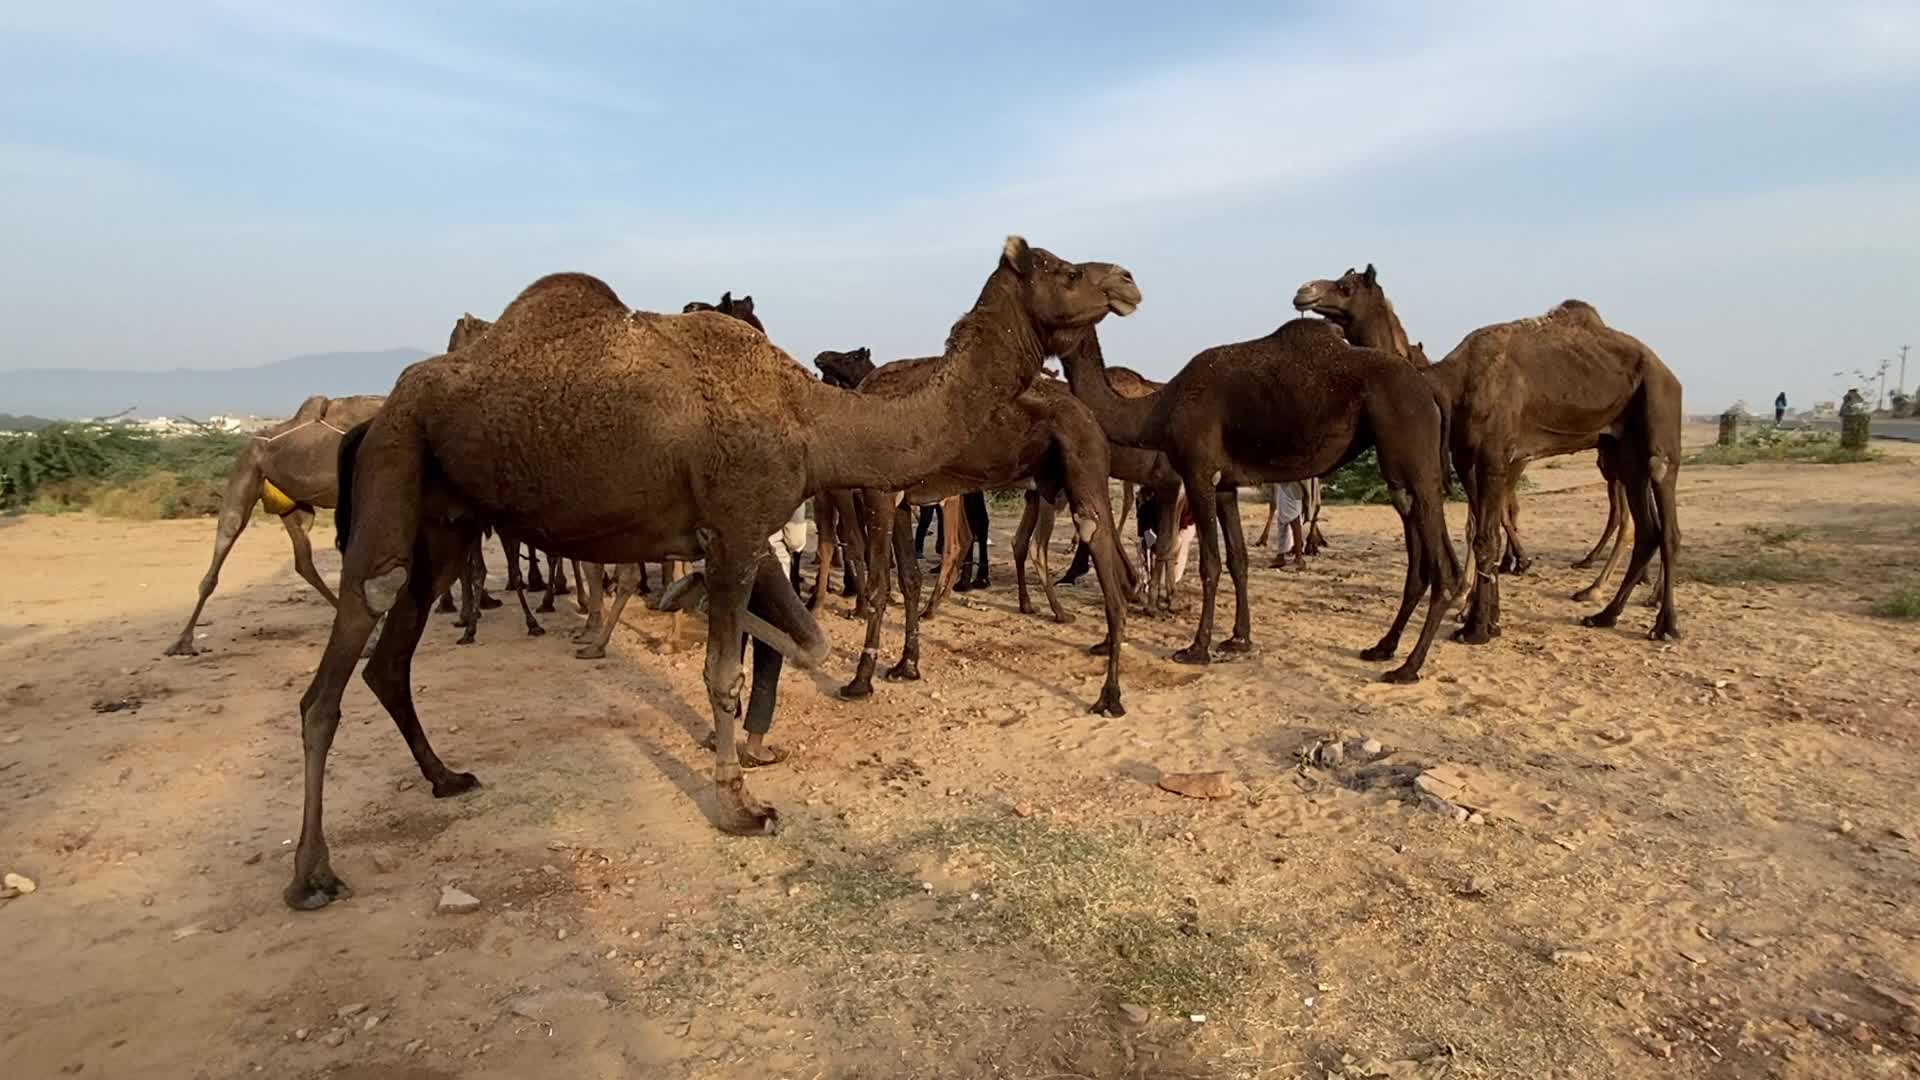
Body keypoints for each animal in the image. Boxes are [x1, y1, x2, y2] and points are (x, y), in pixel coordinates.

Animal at [838, 340, 1138, 716]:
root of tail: (1091, 419)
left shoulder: (878, 493)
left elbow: (879, 585)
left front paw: (860, 681)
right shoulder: (902, 502)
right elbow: (909, 580)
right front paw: (906, 666)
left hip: (1083, 468)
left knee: (1106, 570)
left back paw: (1110, 696)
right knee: (1124, 572)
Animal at [1056, 312, 1459, 682]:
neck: (1160, 407)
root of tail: (1430, 389)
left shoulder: (1198, 474)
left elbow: (1210, 563)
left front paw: (1196, 648)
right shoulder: (1226, 485)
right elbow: (1238, 559)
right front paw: (1238, 639)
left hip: (1411, 443)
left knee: (1440, 561)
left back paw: (1408, 667)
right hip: (1399, 465)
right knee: (1417, 539)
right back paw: (1383, 647)